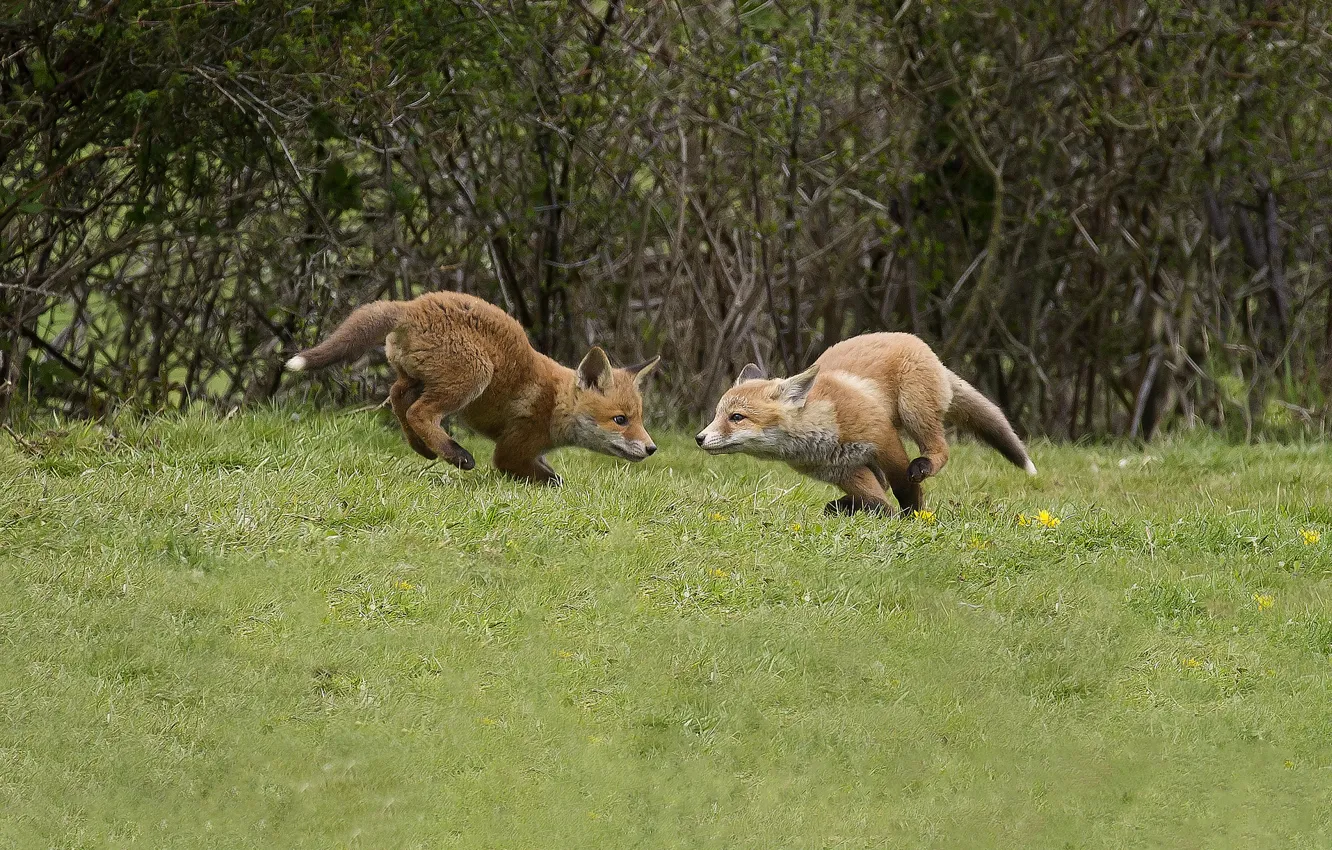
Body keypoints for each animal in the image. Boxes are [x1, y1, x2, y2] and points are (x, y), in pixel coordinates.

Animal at [283, 290, 658, 484]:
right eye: (620, 420)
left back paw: (423, 449)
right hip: (474, 375)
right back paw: (454, 453)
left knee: (397, 397)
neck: (556, 404)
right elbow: (550, 479)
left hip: (418, 378)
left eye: (640, 418)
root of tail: (412, 305)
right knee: (420, 412)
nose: (652, 448)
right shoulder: (512, 451)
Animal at [697, 333, 1038, 519]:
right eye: (717, 414)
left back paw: (924, 465)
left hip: (914, 411)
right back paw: (845, 506)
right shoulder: (844, 470)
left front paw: (912, 518)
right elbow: (877, 501)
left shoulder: (884, 441)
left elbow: (904, 489)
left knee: (939, 450)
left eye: (736, 417)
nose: (699, 438)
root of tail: (922, 346)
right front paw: (884, 515)